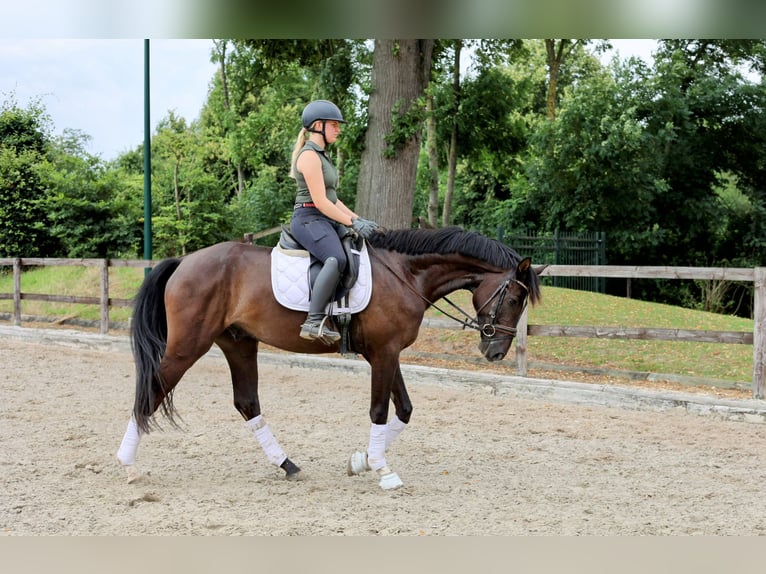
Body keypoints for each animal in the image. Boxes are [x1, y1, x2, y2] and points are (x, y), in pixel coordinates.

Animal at [117, 227, 544, 492]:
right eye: (513, 298)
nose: (496, 352)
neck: (406, 274)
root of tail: (184, 261)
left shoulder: (387, 353)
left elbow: (404, 409)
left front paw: (361, 460)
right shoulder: (384, 353)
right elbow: (379, 410)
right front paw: (382, 469)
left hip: (239, 343)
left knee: (247, 402)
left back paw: (287, 465)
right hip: (188, 346)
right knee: (150, 393)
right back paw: (128, 465)